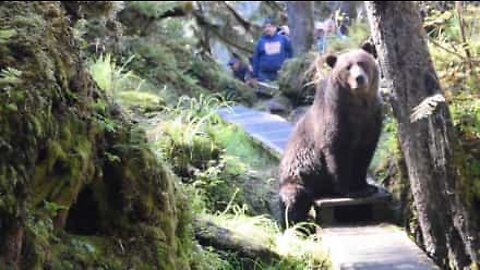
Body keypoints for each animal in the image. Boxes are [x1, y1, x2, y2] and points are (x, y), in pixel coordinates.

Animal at [278, 45, 382, 227]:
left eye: (362, 62)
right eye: (347, 67)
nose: (359, 78)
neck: (358, 105)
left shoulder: (370, 121)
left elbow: (363, 155)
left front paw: (366, 187)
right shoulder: (337, 119)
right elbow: (337, 153)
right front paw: (349, 190)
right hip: (298, 174)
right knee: (294, 198)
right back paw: (296, 222)